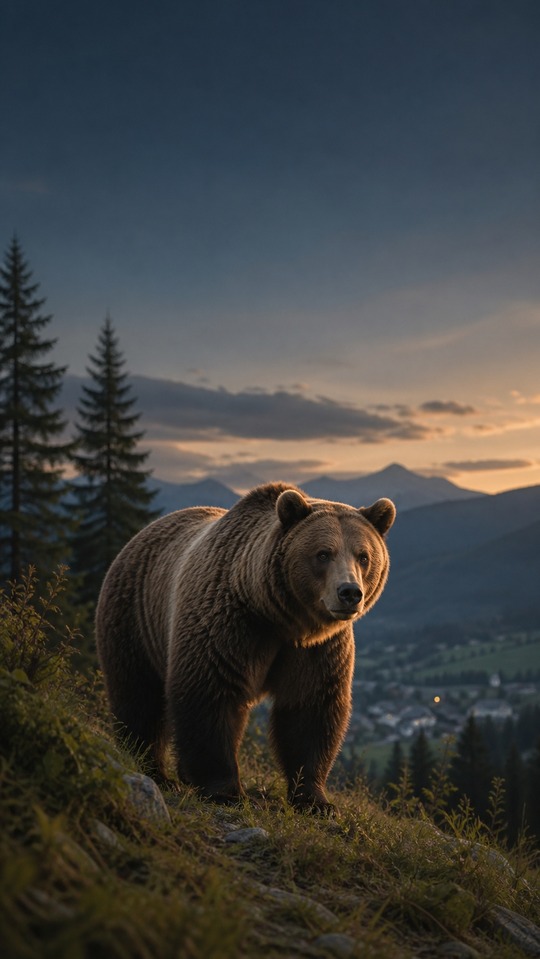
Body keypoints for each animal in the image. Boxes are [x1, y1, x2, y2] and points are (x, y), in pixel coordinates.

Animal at [95, 482, 395, 810]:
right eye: (323, 553)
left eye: (363, 556)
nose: (349, 592)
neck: (281, 618)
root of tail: (142, 533)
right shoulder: (230, 625)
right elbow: (211, 694)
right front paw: (225, 790)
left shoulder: (318, 649)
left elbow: (310, 710)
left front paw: (315, 800)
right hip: (136, 617)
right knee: (139, 695)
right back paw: (153, 769)